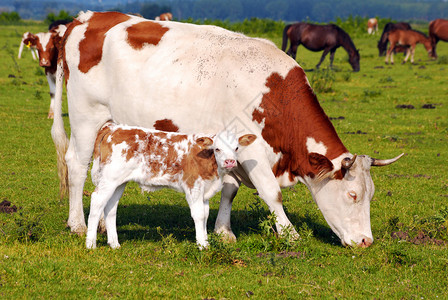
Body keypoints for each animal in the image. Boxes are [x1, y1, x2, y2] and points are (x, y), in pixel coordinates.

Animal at [86, 120, 258, 250]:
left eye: (236, 148)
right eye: (217, 148)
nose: (230, 162)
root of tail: (114, 128)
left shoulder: (205, 190)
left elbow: (205, 215)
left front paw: (206, 242)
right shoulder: (193, 187)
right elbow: (199, 215)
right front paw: (202, 245)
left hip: (119, 182)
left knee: (111, 207)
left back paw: (114, 244)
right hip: (109, 179)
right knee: (97, 201)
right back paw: (91, 244)